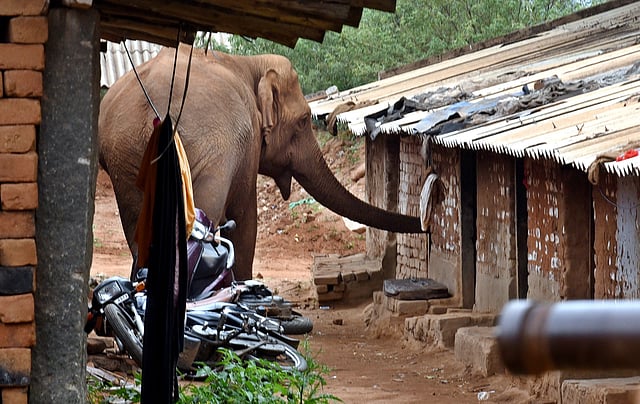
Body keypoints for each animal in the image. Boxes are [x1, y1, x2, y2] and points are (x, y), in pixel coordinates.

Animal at [99, 45, 423, 281]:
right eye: (303, 121)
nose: (424, 225)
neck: (246, 62)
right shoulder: (244, 148)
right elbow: (245, 223)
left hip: (126, 159)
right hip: (206, 153)